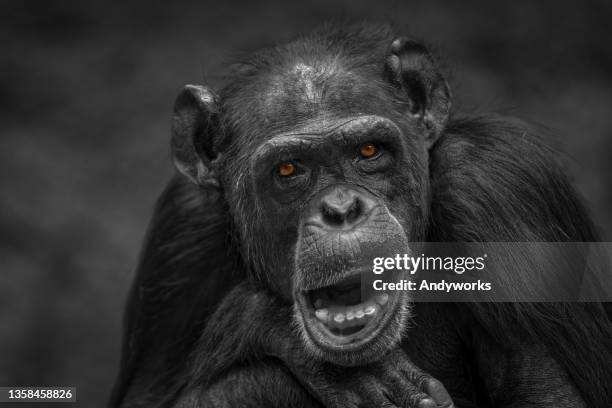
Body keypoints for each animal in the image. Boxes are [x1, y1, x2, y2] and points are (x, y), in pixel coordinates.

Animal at [110, 24, 612, 408]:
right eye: (288, 169)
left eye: (368, 151)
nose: (340, 209)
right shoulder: (181, 234)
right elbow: (148, 398)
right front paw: (275, 328)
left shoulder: (500, 187)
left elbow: (547, 393)